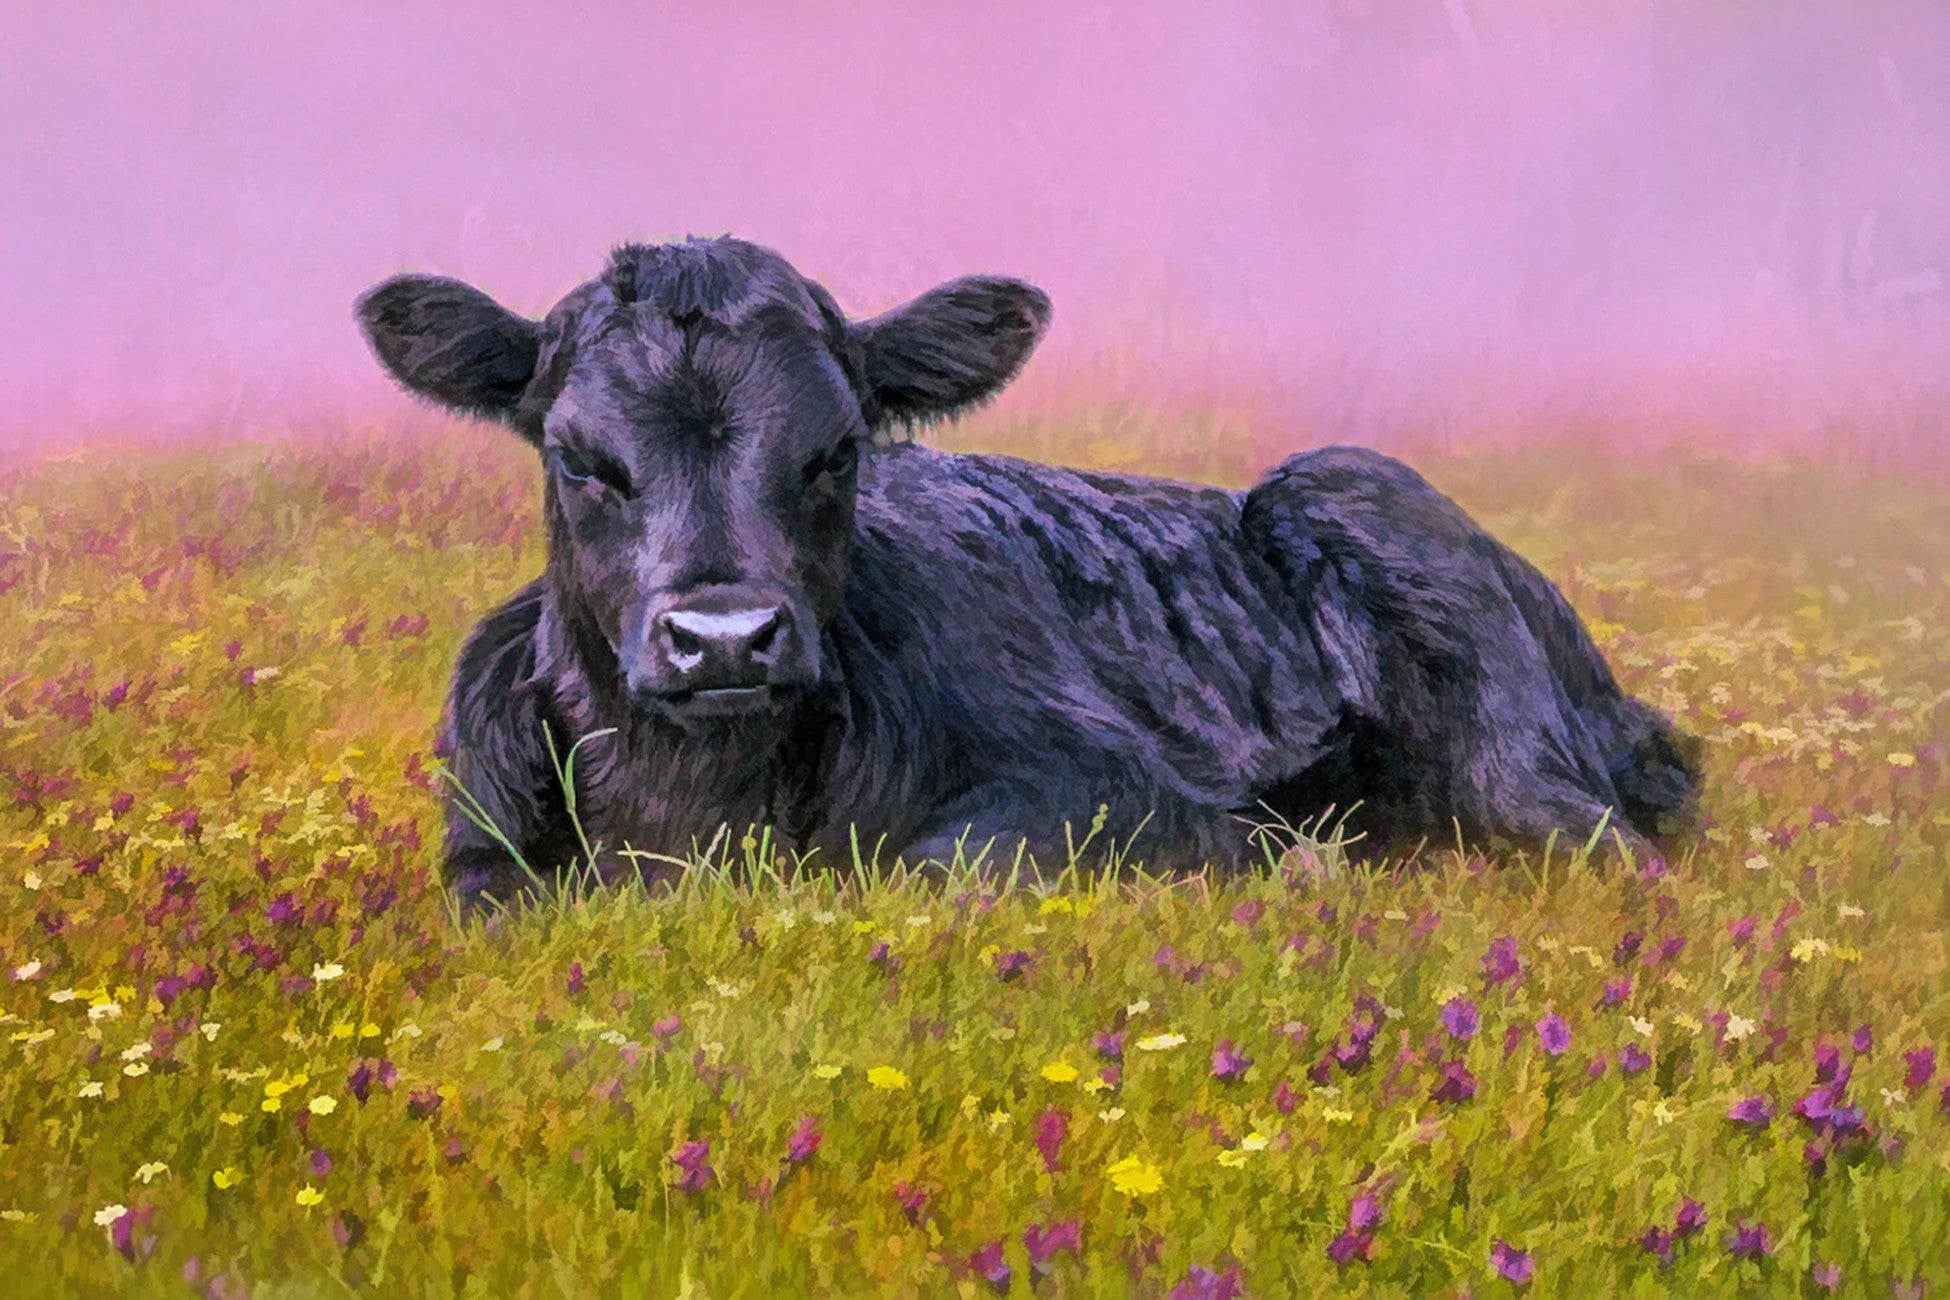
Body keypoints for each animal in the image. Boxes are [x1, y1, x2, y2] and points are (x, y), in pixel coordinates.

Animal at [354, 235, 1701, 912]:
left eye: (839, 450)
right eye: (579, 457)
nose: (726, 637)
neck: (703, 814)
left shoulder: (1123, 783)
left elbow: (937, 862)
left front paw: (1288, 859)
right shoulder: (482, 847)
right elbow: (502, 896)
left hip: (1443, 633)